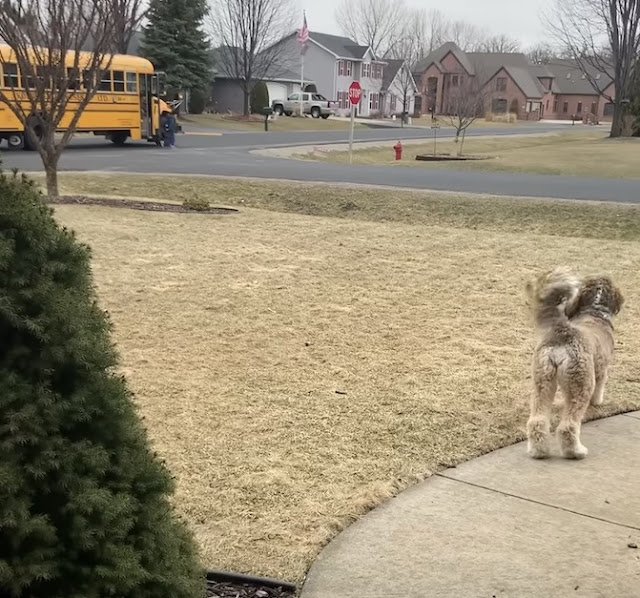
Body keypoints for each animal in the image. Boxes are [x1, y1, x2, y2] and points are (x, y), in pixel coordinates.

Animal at [524, 270, 624, 462]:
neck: (595, 312)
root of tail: (563, 331)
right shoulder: (602, 370)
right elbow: (600, 388)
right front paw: (597, 402)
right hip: (581, 383)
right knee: (567, 426)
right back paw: (576, 452)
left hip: (542, 381)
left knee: (537, 421)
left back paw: (538, 451)